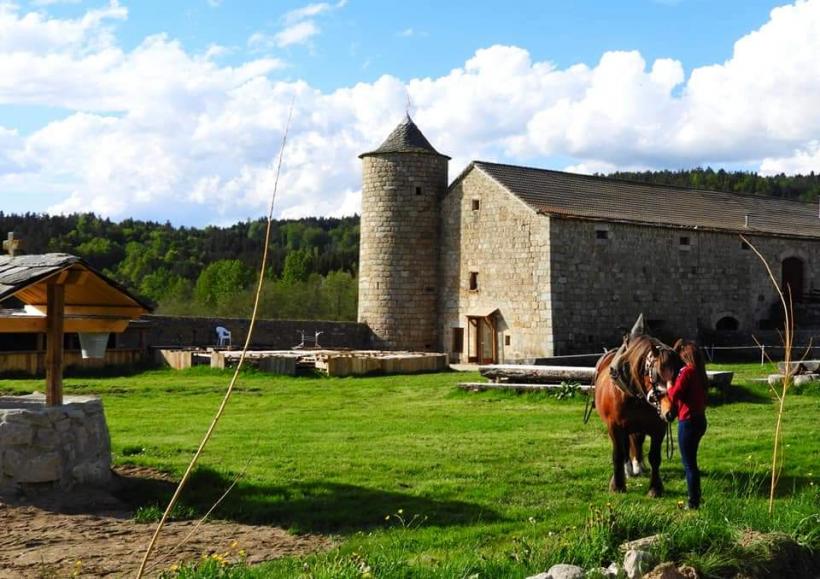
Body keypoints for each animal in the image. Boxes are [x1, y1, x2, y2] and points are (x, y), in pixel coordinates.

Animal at [596, 338, 680, 496]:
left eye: (679, 373)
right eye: (657, 374)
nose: (670, 411)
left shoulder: (658, 428)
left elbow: (655, 457)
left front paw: (655, 488)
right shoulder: (615, 427)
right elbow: (618, 454)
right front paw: (617, 486)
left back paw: (638, 466)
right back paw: (628, 469)